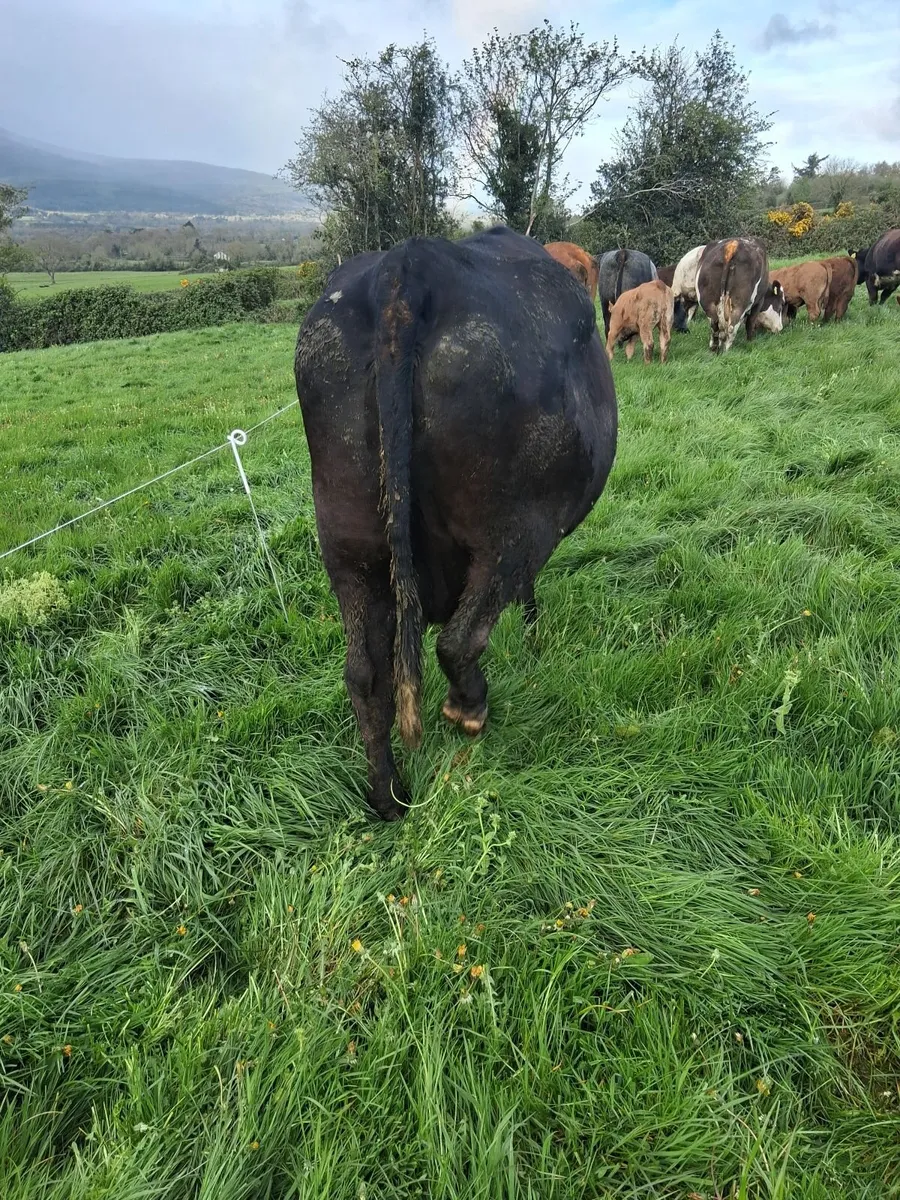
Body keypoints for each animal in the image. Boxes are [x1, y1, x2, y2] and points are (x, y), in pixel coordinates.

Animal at [294, 226, 618, 820]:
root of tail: (409, 267)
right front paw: (533, 632)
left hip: (348, 543)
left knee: (364, 674)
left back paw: (389, 798)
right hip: (516, 529)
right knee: (460, 639)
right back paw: (469, 708)